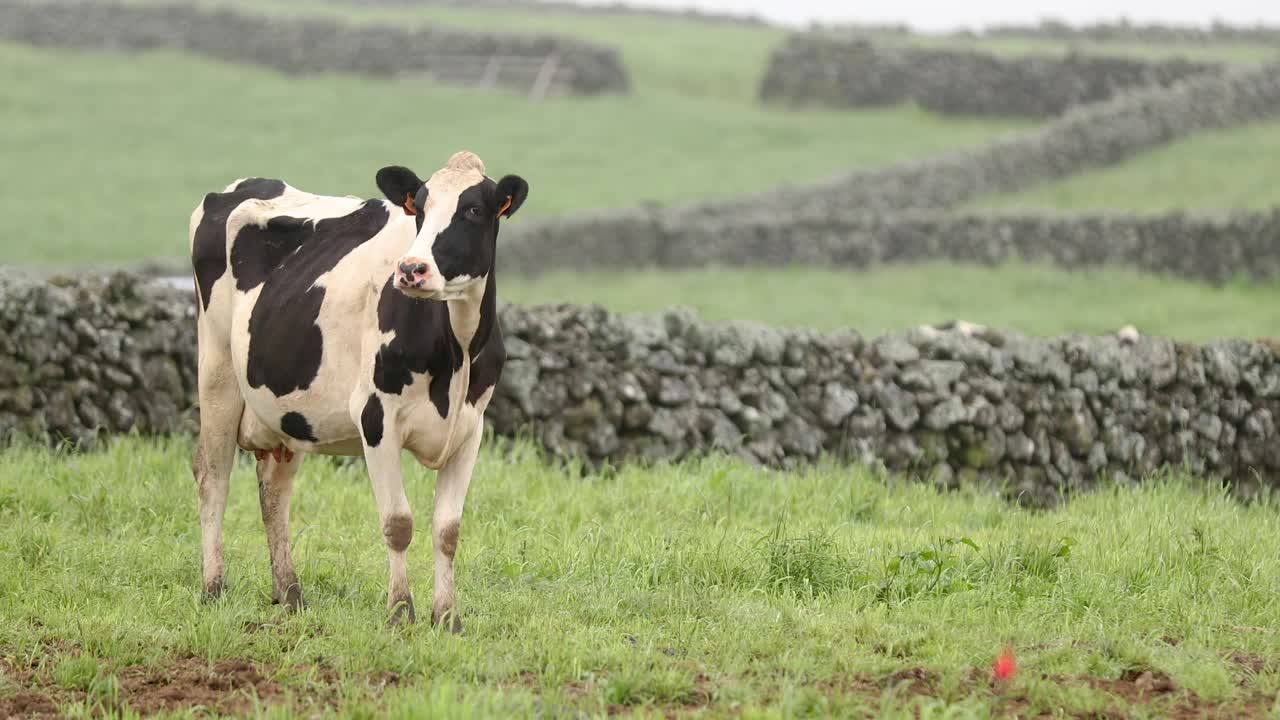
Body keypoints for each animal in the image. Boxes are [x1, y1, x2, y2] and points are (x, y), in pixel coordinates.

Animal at [188, 151, 528, 630]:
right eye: (419, 209)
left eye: (474, 210)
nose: (411, 269)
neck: (457, 350)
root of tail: (245, 185)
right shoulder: (377, 418)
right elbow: (398, 523)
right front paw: (400, 612)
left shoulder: (470, 428)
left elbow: (447, 530)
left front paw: (447, 617)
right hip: (216, 371)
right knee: (213, 476)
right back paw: (214, 587)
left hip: (290, 412)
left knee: (274, 491)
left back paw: (290, 594)